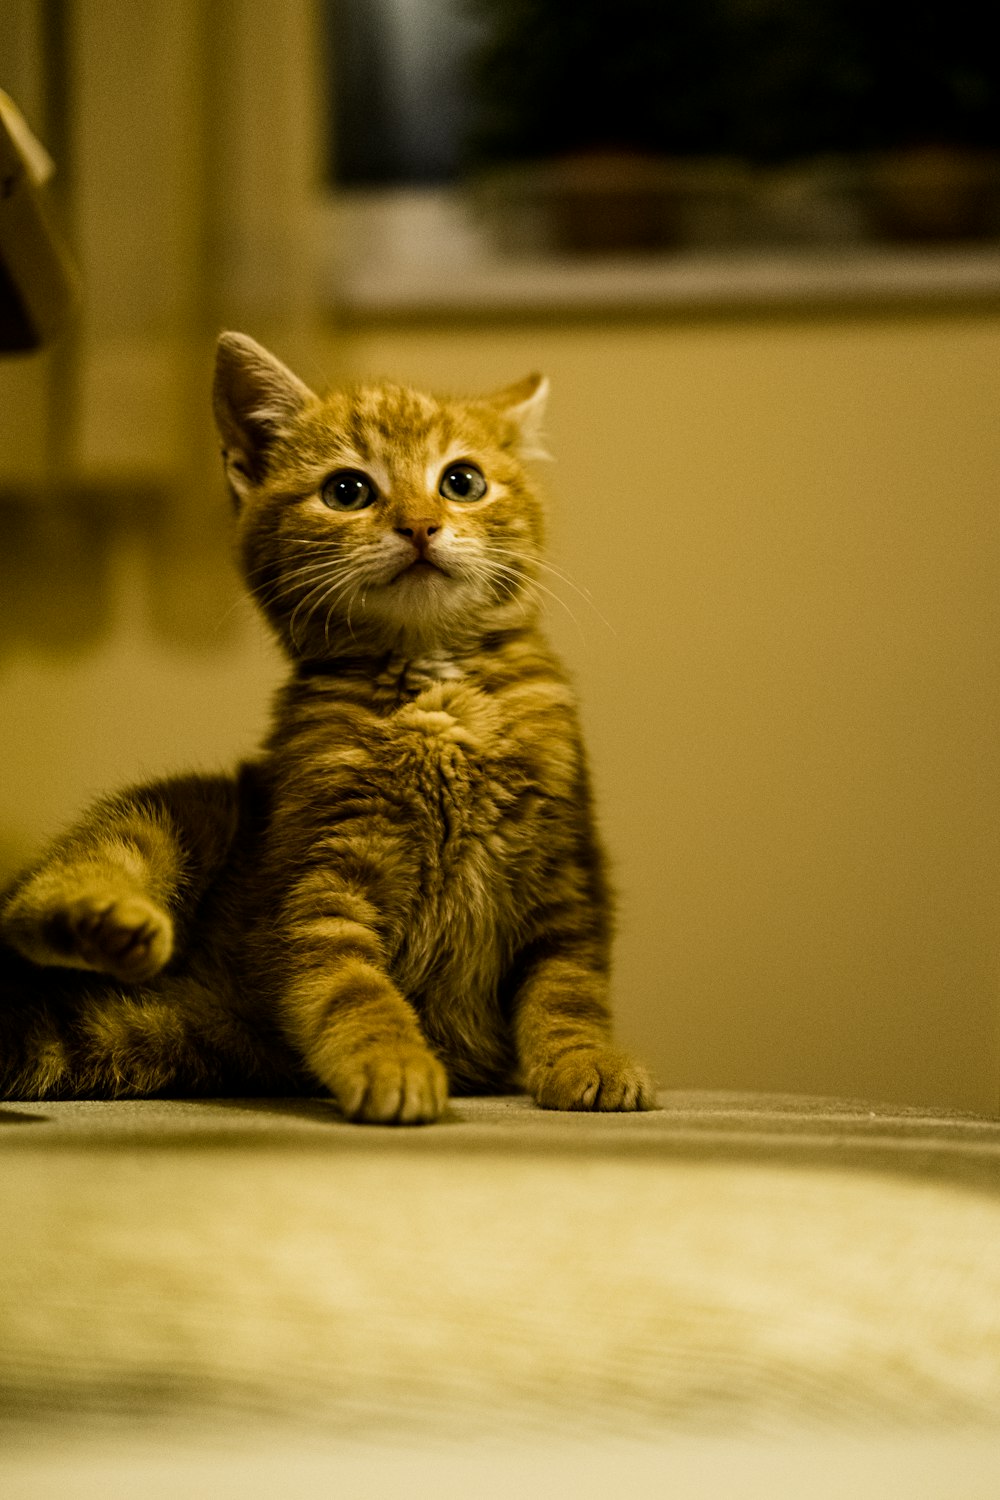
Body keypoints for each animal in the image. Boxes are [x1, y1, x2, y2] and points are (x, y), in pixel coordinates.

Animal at [1, 334, 656, 1122]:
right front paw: (393, 1058)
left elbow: (568, 985)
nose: (420, 524)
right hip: (192, 810)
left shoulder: (566, 874)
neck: (435, 695)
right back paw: (104, 920)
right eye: (348, 491)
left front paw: (587, 1058)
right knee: (46, 892)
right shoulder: (319, 878)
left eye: (462, 481)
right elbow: (350, 985)